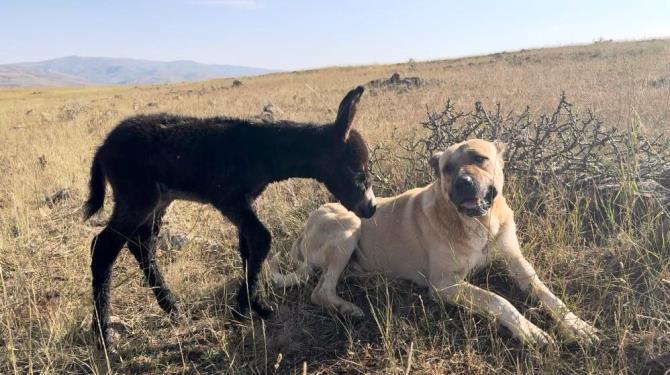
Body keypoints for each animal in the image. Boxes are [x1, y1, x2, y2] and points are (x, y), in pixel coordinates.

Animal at [84, 86, 378, 354]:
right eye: (358, 170)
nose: (371, 208)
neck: (264, 149)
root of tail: (103, 147)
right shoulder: (229, 199)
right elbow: (261, 239)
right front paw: (240, 311)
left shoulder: (245, 202)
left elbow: (247, 248)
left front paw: (257, 306)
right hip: (137, 197)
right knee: (103, 248)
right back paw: (104, 338)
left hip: (157, 202)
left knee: (142, 245)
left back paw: (171, 307)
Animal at [270, 140, 600, 346]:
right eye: (447, 169)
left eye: (479, 158)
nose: (463, 183)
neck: (479, 224)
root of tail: (302, 232)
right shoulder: (444, 285)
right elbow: (499, 300)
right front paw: (531, 332)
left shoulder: (517, 263)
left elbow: (546, 294)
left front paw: (577, 325)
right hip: (348, 226)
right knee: (320, 291)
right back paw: (348, 308)